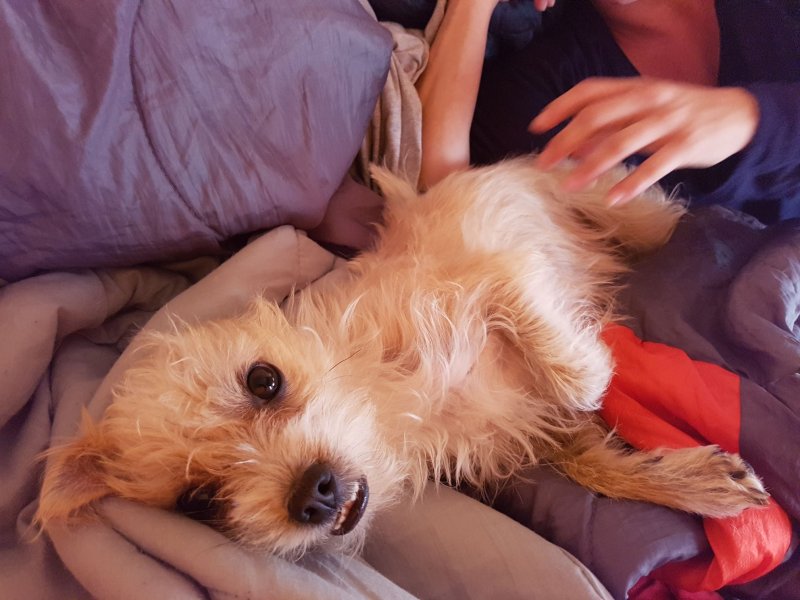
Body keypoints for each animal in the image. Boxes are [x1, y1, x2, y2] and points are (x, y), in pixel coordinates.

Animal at [36, 158, 768, 557]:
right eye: (199, 501)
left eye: (264, 380)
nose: (312, 493)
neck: (399, 409)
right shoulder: (529, 432)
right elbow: (596, 464)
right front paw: (694, 482)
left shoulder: (495, 273)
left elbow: (557, 358)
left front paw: (588, 371)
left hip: (602, 209)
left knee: (644, 212)